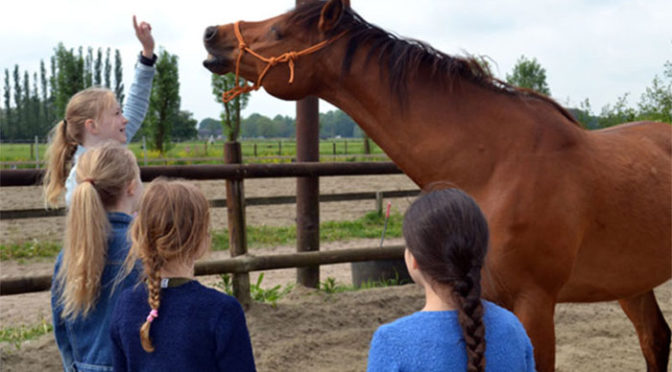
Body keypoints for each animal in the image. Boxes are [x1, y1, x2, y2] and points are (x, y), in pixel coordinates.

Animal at [202, 1, 668, 370]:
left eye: (279, 31)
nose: (211, 34)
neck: (498, 164)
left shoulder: (534, 303)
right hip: (631, 282)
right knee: (655, 340)